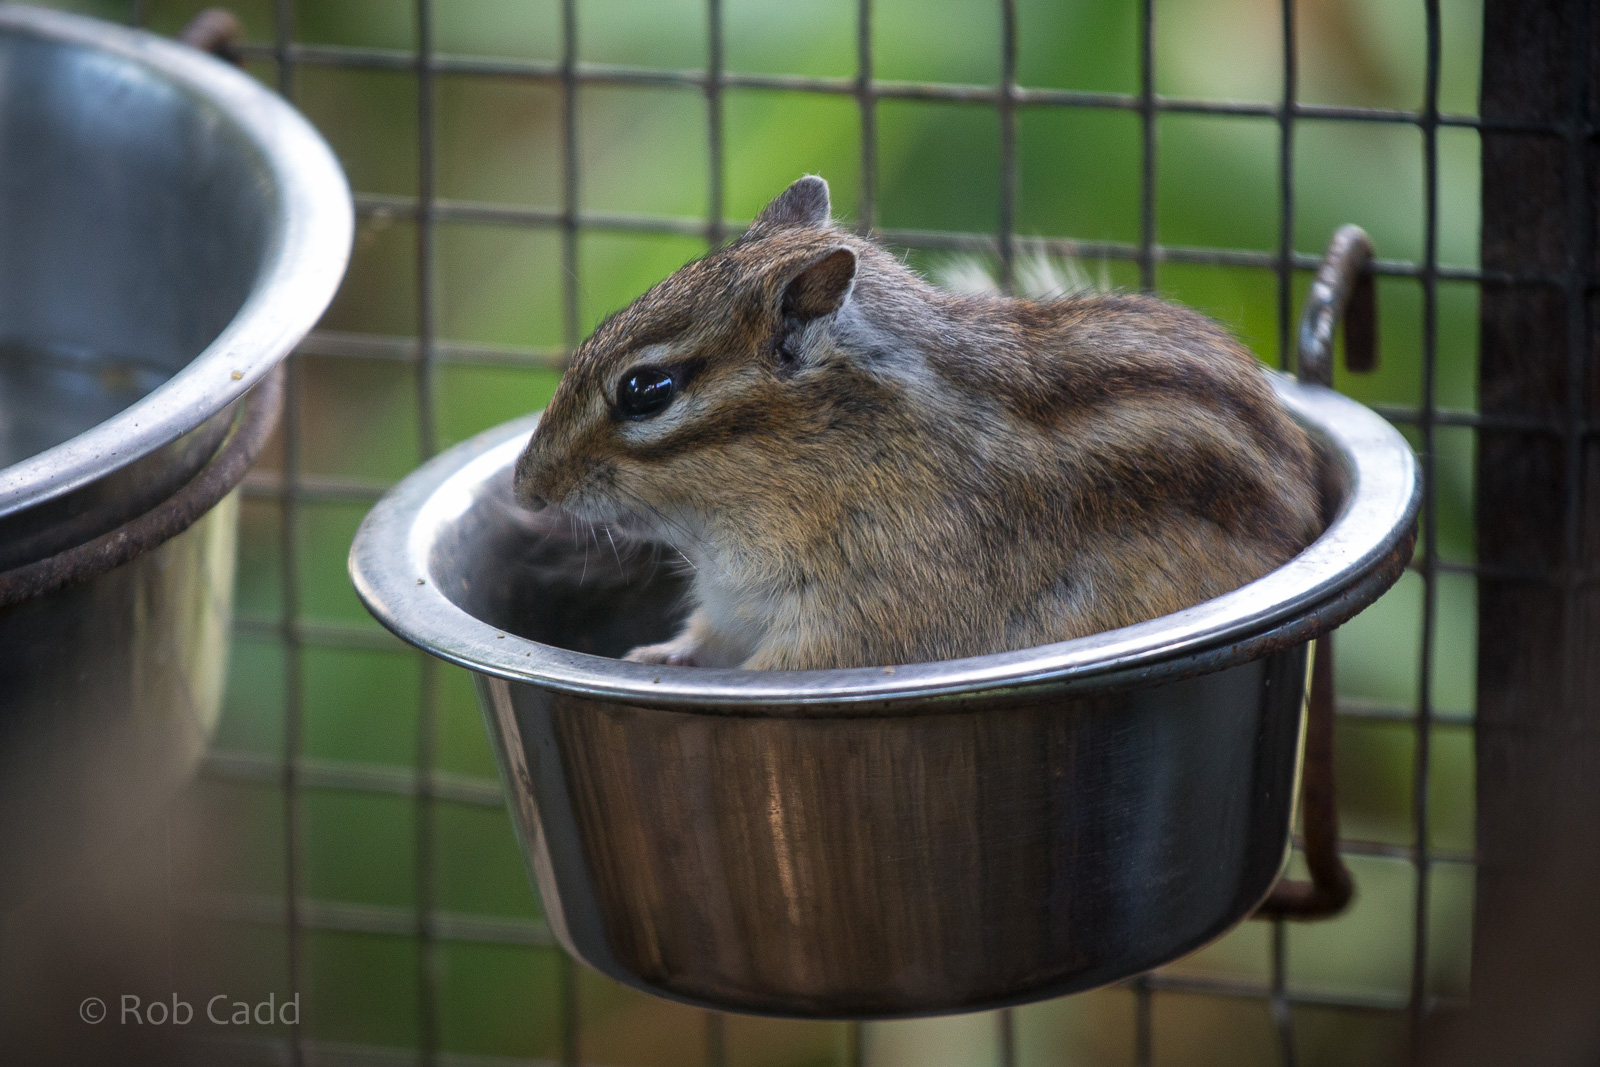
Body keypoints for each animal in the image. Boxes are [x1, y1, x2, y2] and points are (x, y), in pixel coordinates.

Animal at [513, 176, 1322, 670]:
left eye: (646, 390)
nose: (526, 487)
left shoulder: (861, 622)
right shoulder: (734, 603)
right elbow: (706, 638)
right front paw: (656, 657)